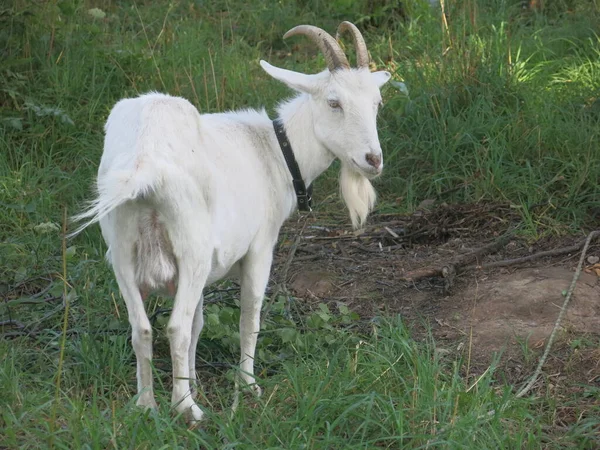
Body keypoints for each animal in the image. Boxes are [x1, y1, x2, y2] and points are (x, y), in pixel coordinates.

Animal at [72, 22, 392, 422]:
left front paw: (195, 380)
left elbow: (199, 323)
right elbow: (249, 316)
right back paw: (186, 408)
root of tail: (146, 163)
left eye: (377, 103)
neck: (275, 151)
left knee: (142, 328)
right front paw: (247, 385)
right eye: (334, 102)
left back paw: (146, 405)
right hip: (189, 248)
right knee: (175, 327)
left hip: (122, 251)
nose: (373, 159)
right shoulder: (259, 247)